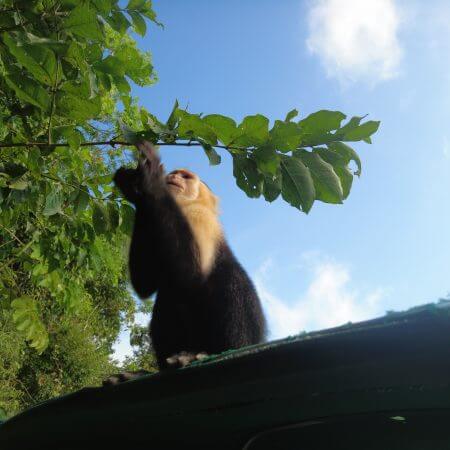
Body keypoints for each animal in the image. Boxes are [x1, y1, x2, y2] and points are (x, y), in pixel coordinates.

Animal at [103, 141, 266, 384]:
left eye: (186, 176)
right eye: (174, 174)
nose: (173, 177)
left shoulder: (198, 215)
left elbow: (190, 275)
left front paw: (149, 180)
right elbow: (146, 285)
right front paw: (136, 190)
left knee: (231, 284)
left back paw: (208, 354)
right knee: (168, 293)